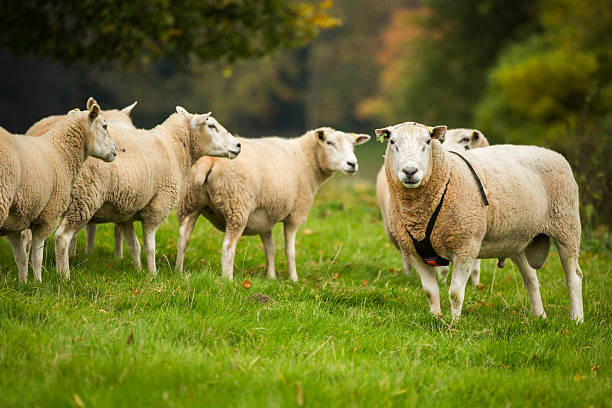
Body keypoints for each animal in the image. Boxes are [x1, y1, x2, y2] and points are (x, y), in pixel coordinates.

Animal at [0, 102, 116, 282]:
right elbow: (37, 257)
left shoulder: (14, 222)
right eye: (104, 126)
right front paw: (38, 282)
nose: (115, 151)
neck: (61, 151)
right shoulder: (48, 216)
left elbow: (20, 258)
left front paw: (23, 283)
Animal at [53, 105, 241, 278]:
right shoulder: (157, 207)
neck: (173, 148)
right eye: (211, 126)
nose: (238, 145)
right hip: (84, 196)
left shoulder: (124, 213)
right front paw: (153, 275)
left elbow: (134, 246)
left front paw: (137, 272)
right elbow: (150, 247)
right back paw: (64, 276)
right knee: (62, 237)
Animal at [175, 127, 370, 280]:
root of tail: (210, 160)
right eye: (329, 143)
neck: (306, 160)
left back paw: (178, 271)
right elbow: (290, 251)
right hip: (236, 205)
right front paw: (293, 279)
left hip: (190, 203)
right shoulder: (295, 215)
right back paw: (228, 279)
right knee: (228, 247)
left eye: (353, 145)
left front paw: (271, 277)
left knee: (183, 238)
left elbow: (270, 249)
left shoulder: (264, 217)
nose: (352, 164)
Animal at [376, 121, 580, 322]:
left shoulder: (466, 246)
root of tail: (553, 153)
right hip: (518, 240)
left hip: (566, 226)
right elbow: (430, 292)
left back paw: (577, 318)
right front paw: (436, 318)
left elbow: (455, 293)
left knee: (574, 275)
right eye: (392, 142)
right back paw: (539, 316)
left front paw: (454, 324)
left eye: (427, 141)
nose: (410, 171)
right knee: (531, 278)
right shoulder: (415, 252)